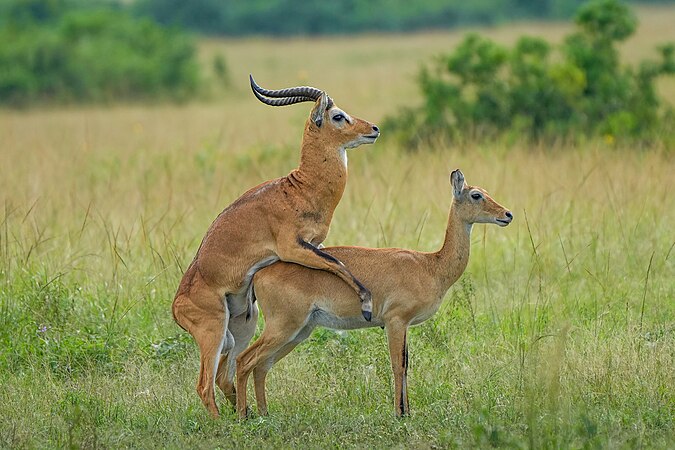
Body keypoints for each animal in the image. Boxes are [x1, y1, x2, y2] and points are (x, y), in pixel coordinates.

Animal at [172, 75, 380, 416]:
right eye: (338, 116)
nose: (373, 128)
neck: (301, 188)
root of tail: (176, 306)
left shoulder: (314, 244)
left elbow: (336, 262)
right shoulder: (292, 248)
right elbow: (338, 264)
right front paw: (365, 304)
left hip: (244, 324)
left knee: (224, 377)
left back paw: (245, 415)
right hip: (213, 332)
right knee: (204, 385)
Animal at [236, 170, 512, 418]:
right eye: (476, 195)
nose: (507, 214)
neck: (431, 265)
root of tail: (259, 274)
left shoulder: (404, 325)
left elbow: (406, 364)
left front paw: (408, 411)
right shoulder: (395, 320)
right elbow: (398, 365)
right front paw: (400, 414)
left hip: (299, 331)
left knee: (261, 365)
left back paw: (264, 414)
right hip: (283, 326)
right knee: (244, 359)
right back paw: (243, 416)